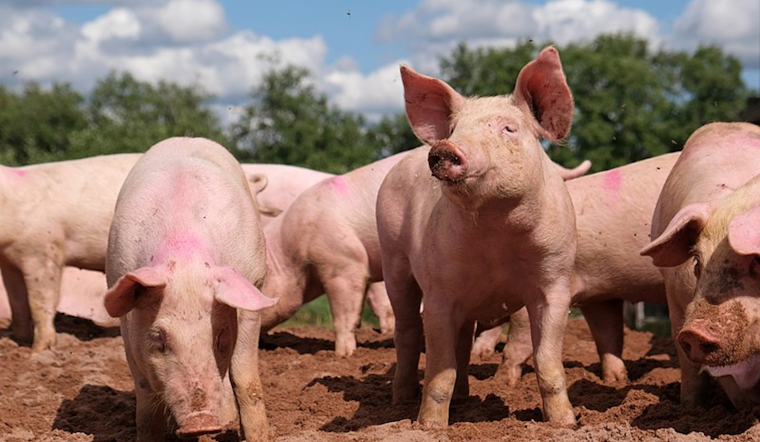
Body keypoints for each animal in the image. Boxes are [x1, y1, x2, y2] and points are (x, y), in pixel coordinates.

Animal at [0, 154, 141, 350]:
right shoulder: (8, 261)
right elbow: (17, 304)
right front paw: (20, 342)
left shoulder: (44, 250)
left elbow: (40, 303)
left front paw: (38, 350)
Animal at [103, 137, 276, 441]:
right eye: (158, 337)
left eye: (220, 336)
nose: (201, 422)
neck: (184, 251)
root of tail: (186, 138)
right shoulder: (125, 313)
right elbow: (144, 395)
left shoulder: (253, 284)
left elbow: (246, 379)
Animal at [376, 46, 578, 427]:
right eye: (455, 128)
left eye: (509, 128)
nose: (444, 148)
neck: (497, 234)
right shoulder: (439, 292)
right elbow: (439, 370)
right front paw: (430, 427)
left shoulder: (555, 283)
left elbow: (547, 362)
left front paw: (565, 424)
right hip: (393, 261)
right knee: (407, 332)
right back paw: (399, 402)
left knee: (462, 343)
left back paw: (464, 398)